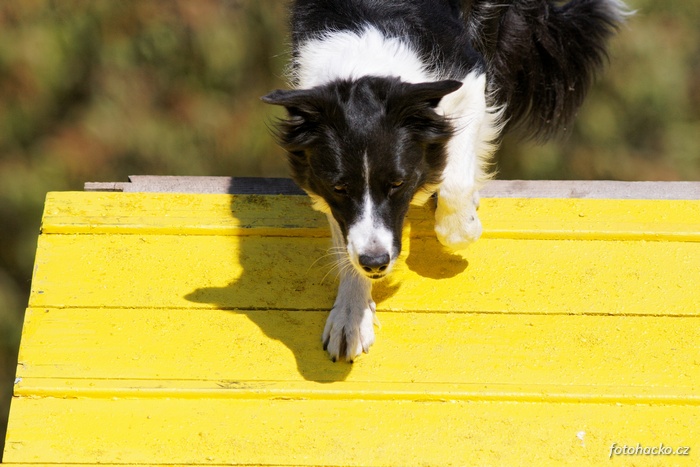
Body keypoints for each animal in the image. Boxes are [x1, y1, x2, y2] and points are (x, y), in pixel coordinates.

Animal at [264, 0, 628, 362]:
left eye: (398, 183)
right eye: (339, 187)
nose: (376, 263)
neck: (364, 60)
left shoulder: (469, 74)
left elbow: (456, 177)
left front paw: (462, 227)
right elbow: (346, 240)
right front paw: (351, 318)